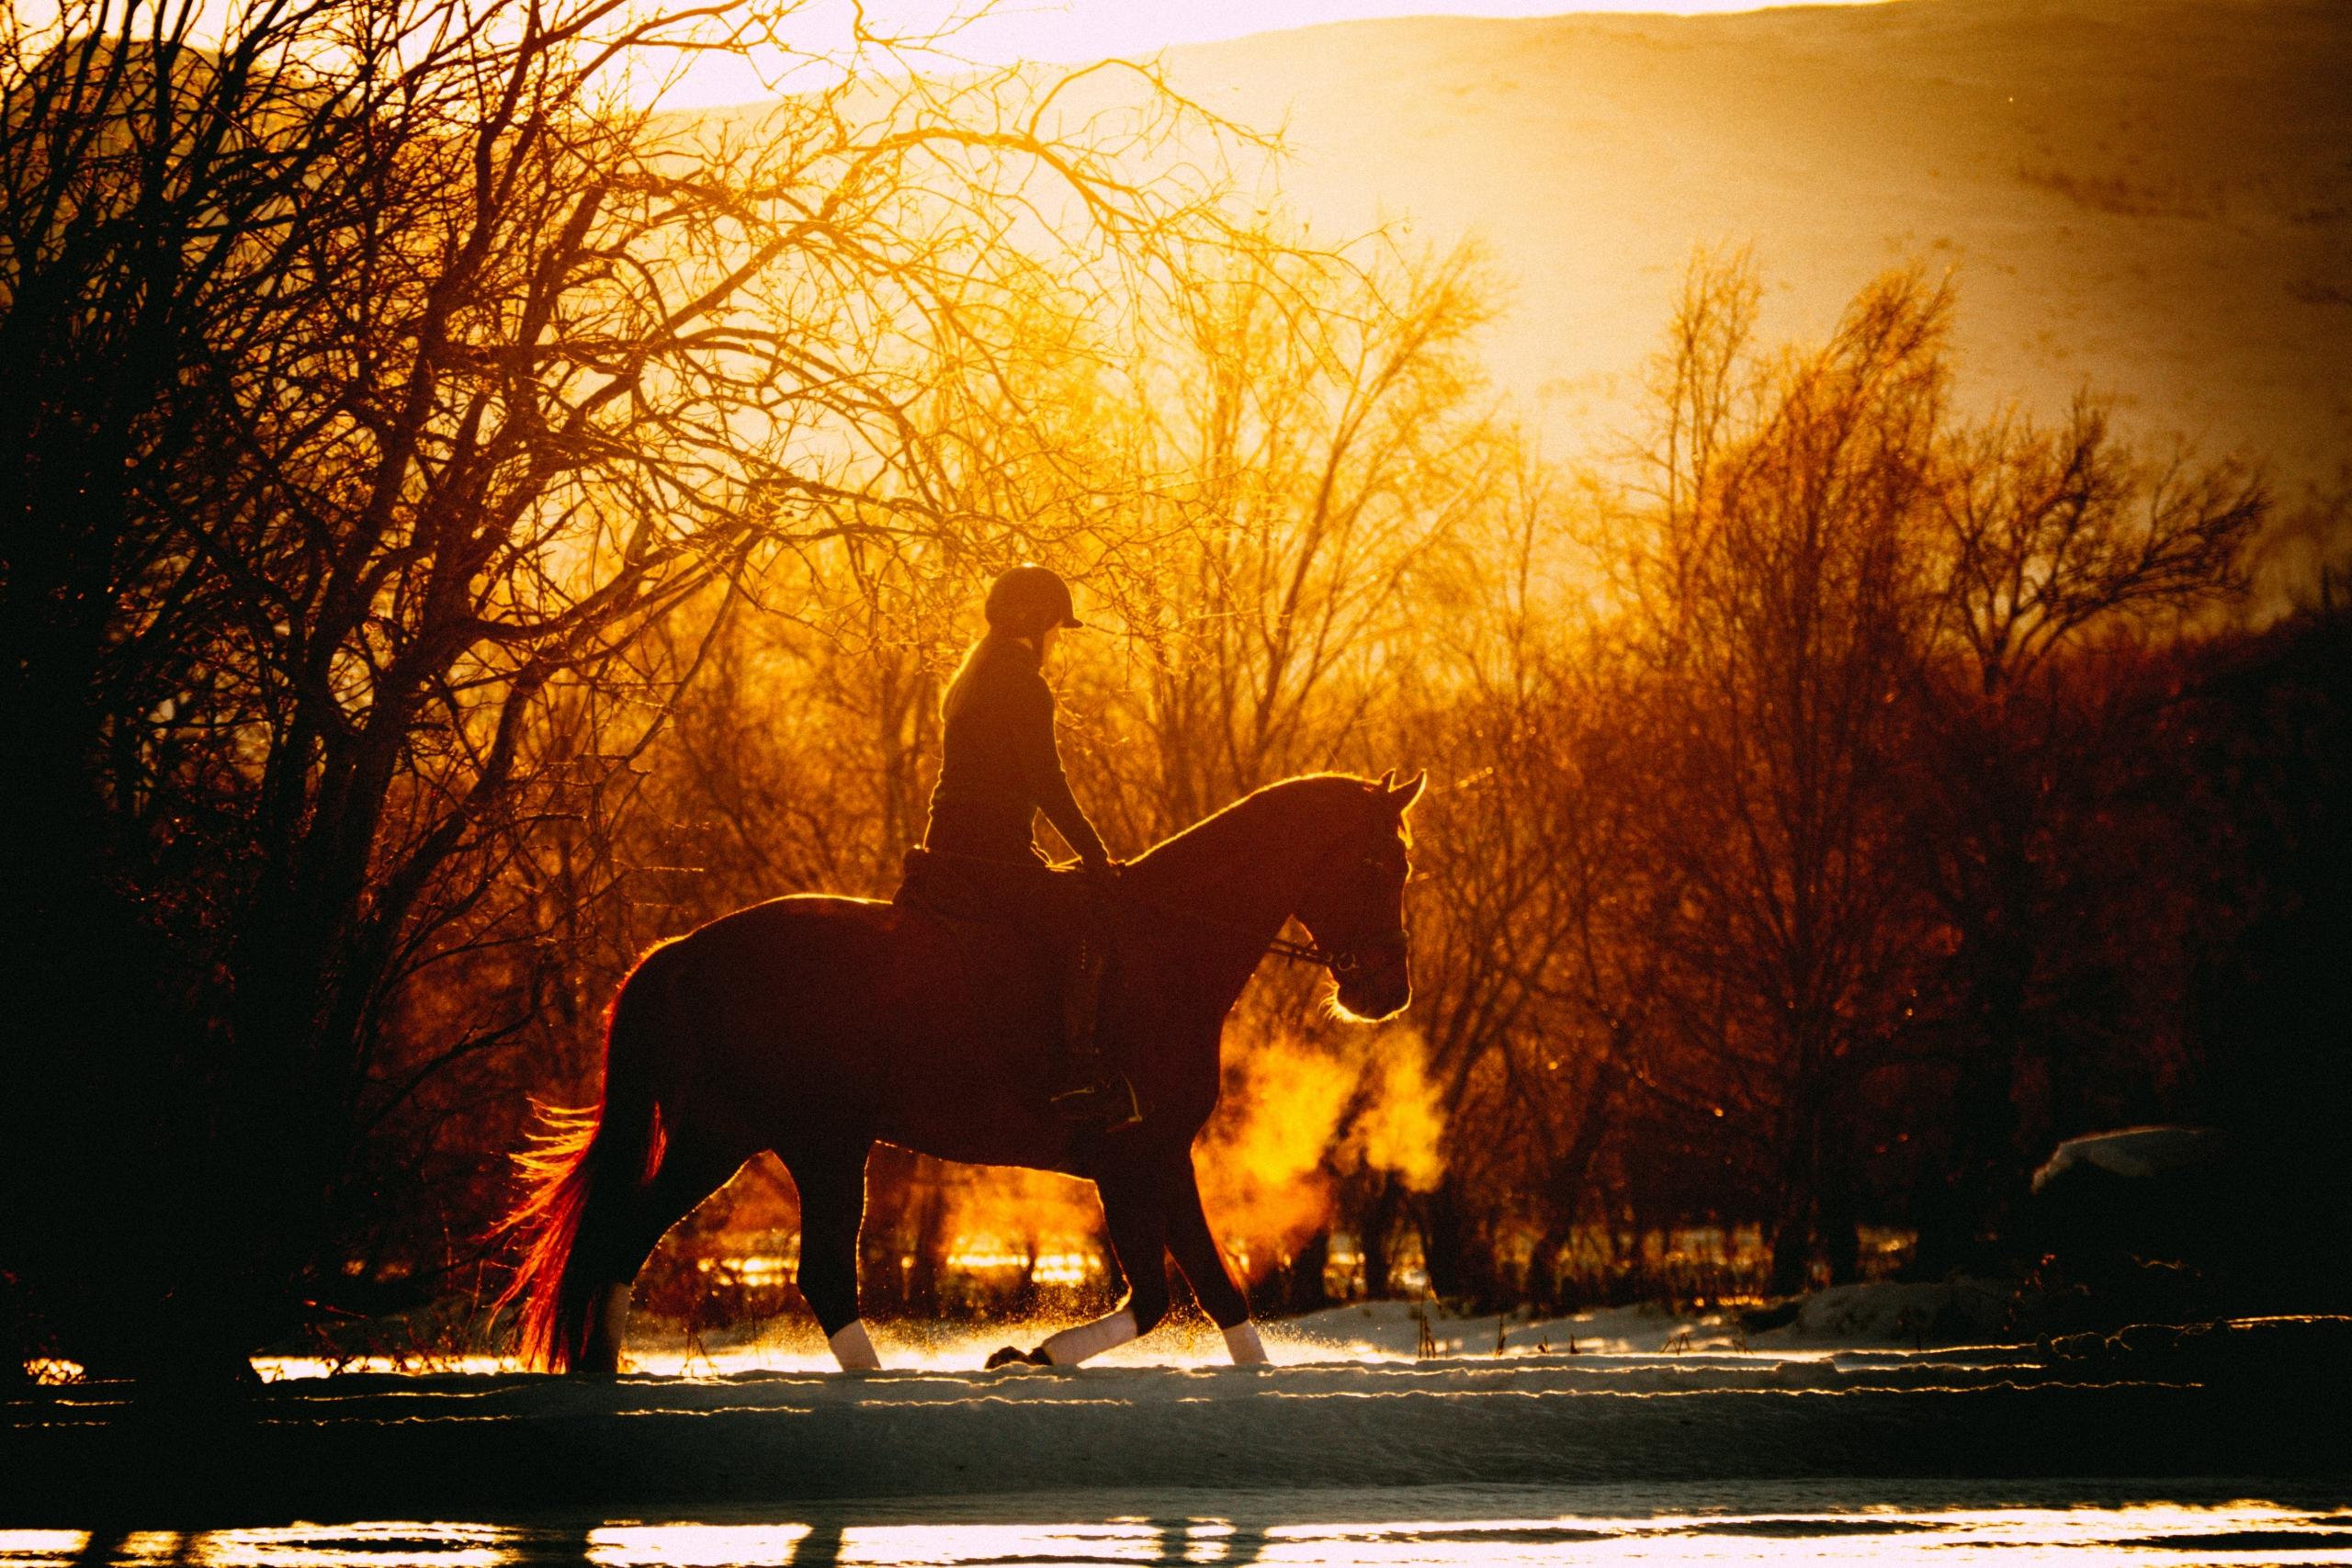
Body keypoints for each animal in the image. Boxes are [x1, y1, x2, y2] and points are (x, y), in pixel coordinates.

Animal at [498, 768, 1424, 1373]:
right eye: (1381, 863)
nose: (1387, 991)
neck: (1166, 947)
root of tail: (686, 951)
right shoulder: (1130, 1156)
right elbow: (1161, 1290)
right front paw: (1034, 1353)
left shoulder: (1161, 1154)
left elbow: (1216, 1288)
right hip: (800, 1142)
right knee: (775, 1263)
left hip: (759, 1138)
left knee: (661, 1241)